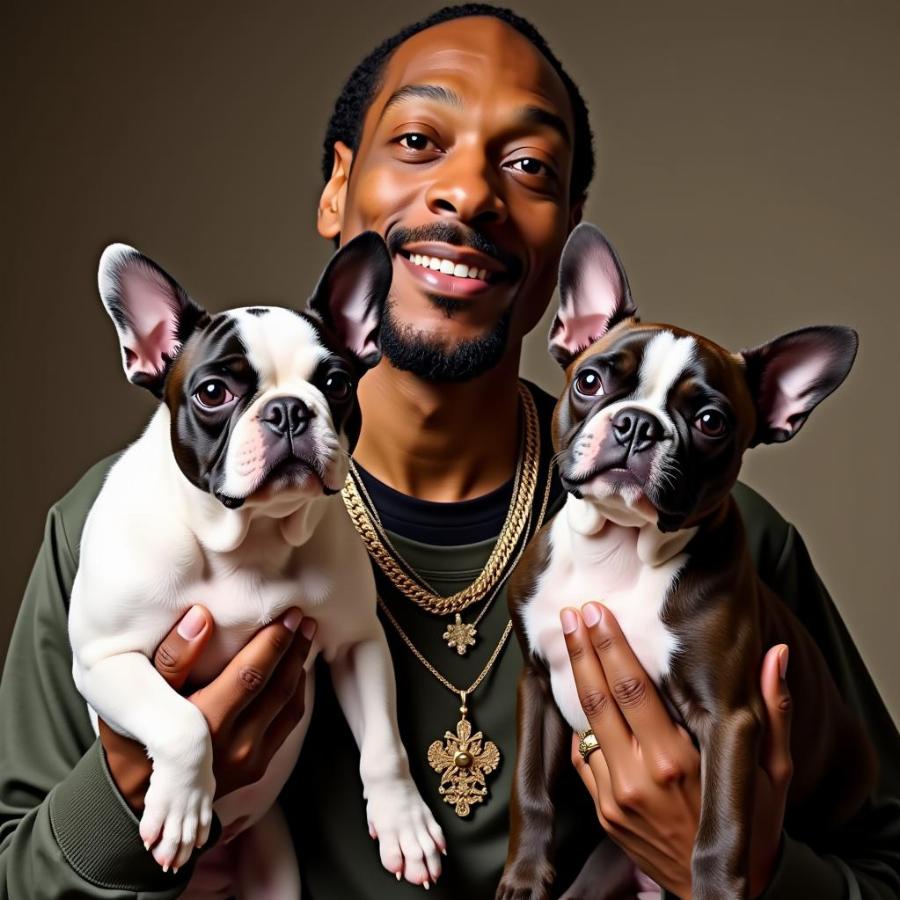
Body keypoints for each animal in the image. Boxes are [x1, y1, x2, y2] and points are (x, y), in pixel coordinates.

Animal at [68, 234, 444, 900]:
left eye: (337, 382)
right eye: (213, 393)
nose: (289, 409)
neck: (248, 540)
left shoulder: (356, 642)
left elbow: (383, 743)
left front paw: (404, 821)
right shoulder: (104, 658)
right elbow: (183, 721)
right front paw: (181, 806)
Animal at [496, 223, 876, 900]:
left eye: (710, 421)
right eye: (589, 382)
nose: (637, 425)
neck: (619, 549)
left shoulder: (730, 719)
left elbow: (720, 828)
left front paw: (716, 892)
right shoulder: (536, 684)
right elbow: (531, 790)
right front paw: (524, 877)